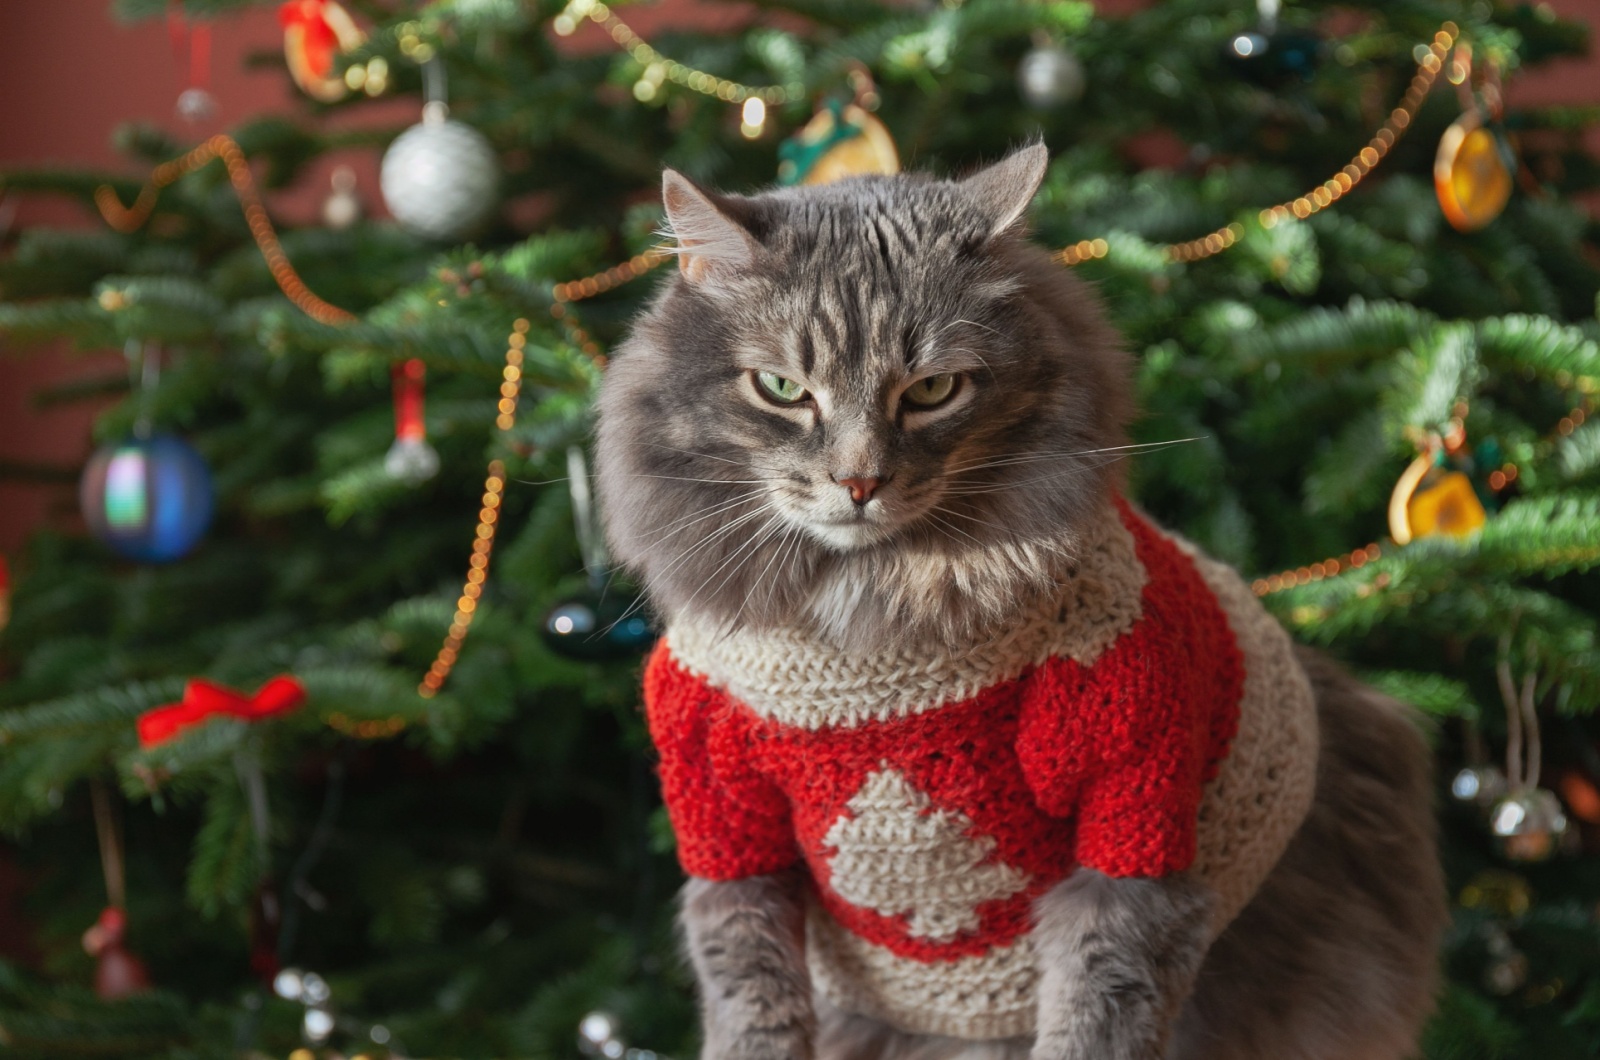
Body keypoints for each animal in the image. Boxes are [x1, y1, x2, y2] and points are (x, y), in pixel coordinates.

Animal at [595, 147, 1446, 1060]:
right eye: (782, 388)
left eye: (933, 390)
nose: (859, 482)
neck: (872, 616)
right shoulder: (731, 839)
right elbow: (752, 1009)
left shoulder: (1132, 824)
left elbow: (1097, 1018)